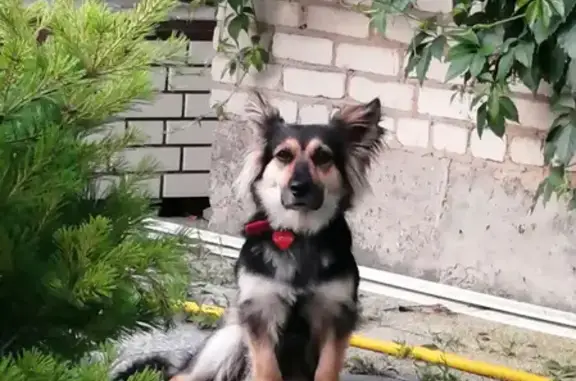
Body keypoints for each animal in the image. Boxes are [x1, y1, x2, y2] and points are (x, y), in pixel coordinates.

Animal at [111, 92, 384, 380]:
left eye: (323, 157)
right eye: (283, 155)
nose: (299, 188)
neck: (297, 234)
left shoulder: (336, 312)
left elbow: (327, 369)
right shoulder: (258, 310)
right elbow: (266, 369)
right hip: (230, 337)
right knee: (182, 376)